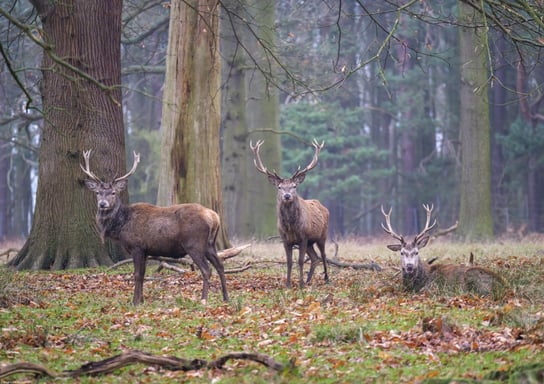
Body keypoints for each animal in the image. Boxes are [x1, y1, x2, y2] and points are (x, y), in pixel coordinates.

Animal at [78, 150, 227, 306]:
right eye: (97, 193)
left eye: (113, 192)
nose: (102, 204)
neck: (121, 226)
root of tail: (214, 217)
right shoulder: (145, 250)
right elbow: (143, 274)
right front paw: (142, 300)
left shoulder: (136, 247)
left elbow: (137, 274)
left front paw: (135, 302)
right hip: (210, 244)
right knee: (220, 265)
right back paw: (225, 297)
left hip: (194, 244)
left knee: (206, 269)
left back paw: (203, 299)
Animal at [250, 139, 330, 288]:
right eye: (279, 187)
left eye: (294, 186)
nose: (287, 196)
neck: (291, 227)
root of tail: (323, 207)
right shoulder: (285, 240)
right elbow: (289, 262)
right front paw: (288, 284)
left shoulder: (303, 237)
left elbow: (300, 261)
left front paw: (300, 284)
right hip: (310, 242)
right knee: (315, 258)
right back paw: (309, 280)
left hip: (322, 235)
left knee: (323, 255)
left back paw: (326, 279)